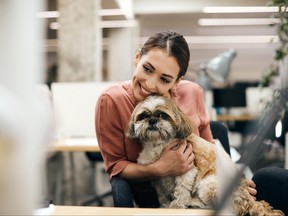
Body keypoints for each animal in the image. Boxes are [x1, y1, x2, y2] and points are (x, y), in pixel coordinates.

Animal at [127, 95, 284, 216]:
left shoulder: (188, 169)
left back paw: (194, 204)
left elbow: (181, 189)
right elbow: (161, 194)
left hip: (208, 184)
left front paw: (177, 205)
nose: (152, 120)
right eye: (143, 116)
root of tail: (248, 200)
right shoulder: (158, 178)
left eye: (162, 115)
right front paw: (164, 205)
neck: (158, 144)